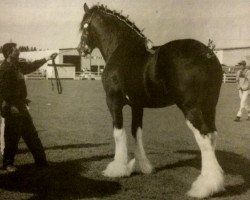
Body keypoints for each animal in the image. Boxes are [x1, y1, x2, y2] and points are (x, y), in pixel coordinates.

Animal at [77, 3, 225, 198]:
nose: (80, 49)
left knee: (205, 138)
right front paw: (143, 166)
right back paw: (216, 183)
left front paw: (117, 169)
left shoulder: (113, 102)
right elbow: (136, 132)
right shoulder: (137, 106)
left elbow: (119, 133)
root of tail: (207, 54)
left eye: (84, 26)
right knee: (213, 136)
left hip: (192, 108)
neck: (120, 48)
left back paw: (204, 187)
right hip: (209, 107)